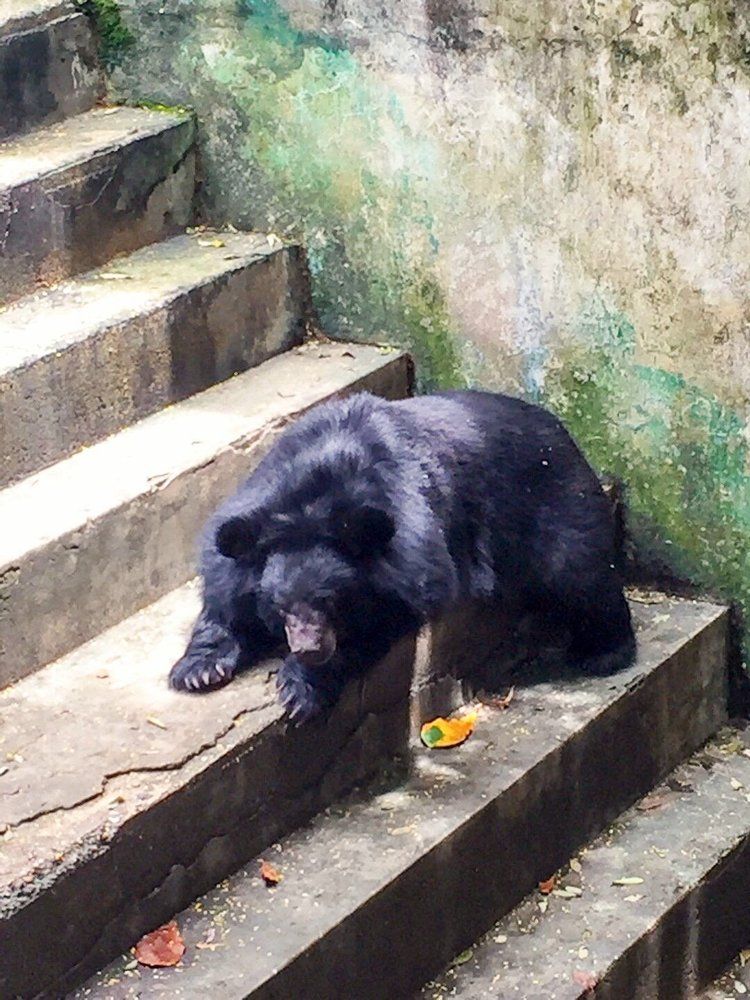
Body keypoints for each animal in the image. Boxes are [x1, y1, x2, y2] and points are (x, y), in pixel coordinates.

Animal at [169, 390, 636, 722]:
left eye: (328, 601)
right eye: (280, 607)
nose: (308, 648)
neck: (311, 504)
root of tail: (561, 429)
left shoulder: (412, 556)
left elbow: (382, 620)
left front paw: (300, 687)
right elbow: (225, 599)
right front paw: (198, 670)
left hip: (555, 507)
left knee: (582, 574)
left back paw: (604, 652)